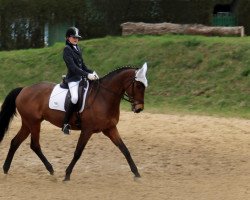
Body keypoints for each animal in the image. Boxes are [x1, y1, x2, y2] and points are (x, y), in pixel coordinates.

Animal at [0, 63, 147, 181]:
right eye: (139, 85)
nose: (139, 108)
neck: (104, 97)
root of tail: (24, 89)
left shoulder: (110, 129)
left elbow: (125, 149)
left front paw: (137, 174)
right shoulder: (87, 130)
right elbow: (78, 152)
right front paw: (67, 175)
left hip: (28, 123)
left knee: (15, 142)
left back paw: (6, 169)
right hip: (34, 123)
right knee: (34, 145)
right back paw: (51, 169)